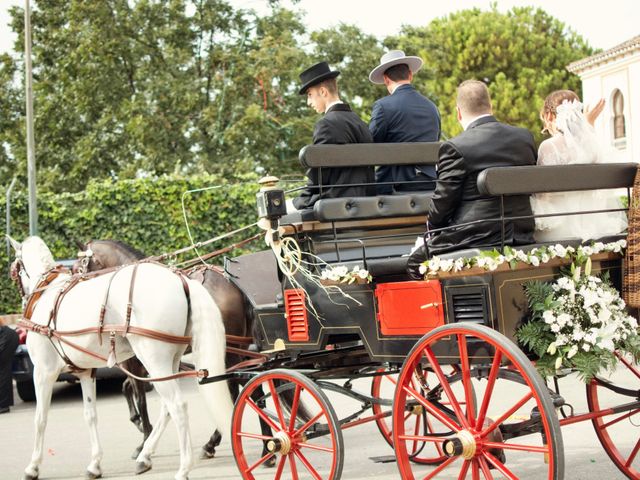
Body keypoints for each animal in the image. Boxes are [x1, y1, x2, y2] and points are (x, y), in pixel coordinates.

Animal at [9, 236, 235, 480]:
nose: (23, 301)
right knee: (169, 407)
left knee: (179, 405)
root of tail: (181, 280)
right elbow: (91, 414)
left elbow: (40, 418)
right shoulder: (85, 372)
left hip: (154, 360)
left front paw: (33, 466)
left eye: (14, 270)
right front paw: (95, 464)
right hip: (171, 361)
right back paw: (148, 455)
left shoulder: (43, 371)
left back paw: (183, 466)